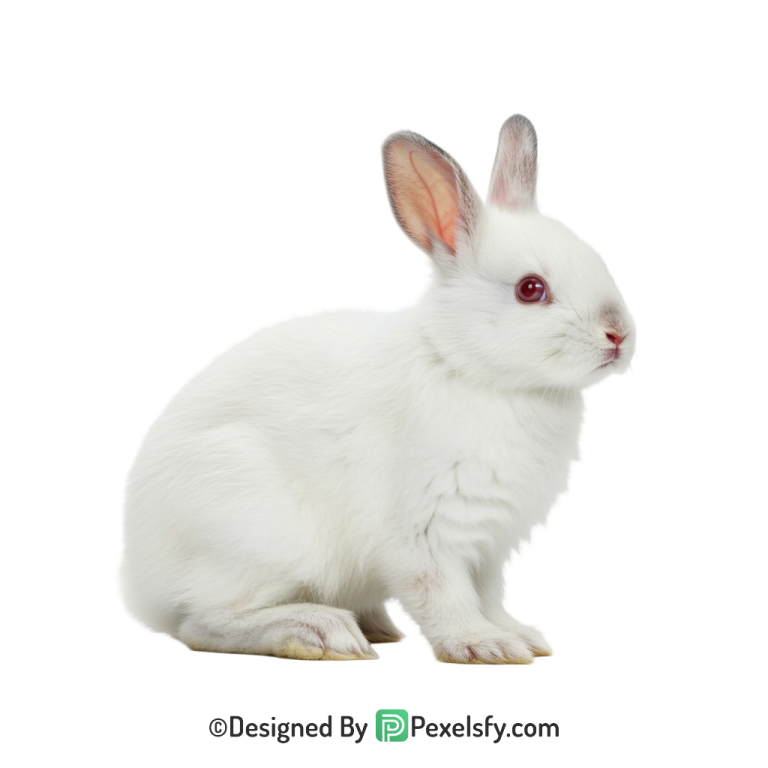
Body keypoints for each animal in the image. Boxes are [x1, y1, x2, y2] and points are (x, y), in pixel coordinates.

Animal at [116, 113, 637, 665]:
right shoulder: (425, 535)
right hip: (259, 536)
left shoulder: (491, 550)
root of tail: (139, 584)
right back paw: (320, 632)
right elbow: (442, 595)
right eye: (530, 289)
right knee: (202, 623)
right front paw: (486, 645)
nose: (619, 335)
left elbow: (492, 597)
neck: (469, 367)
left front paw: (523, 636)